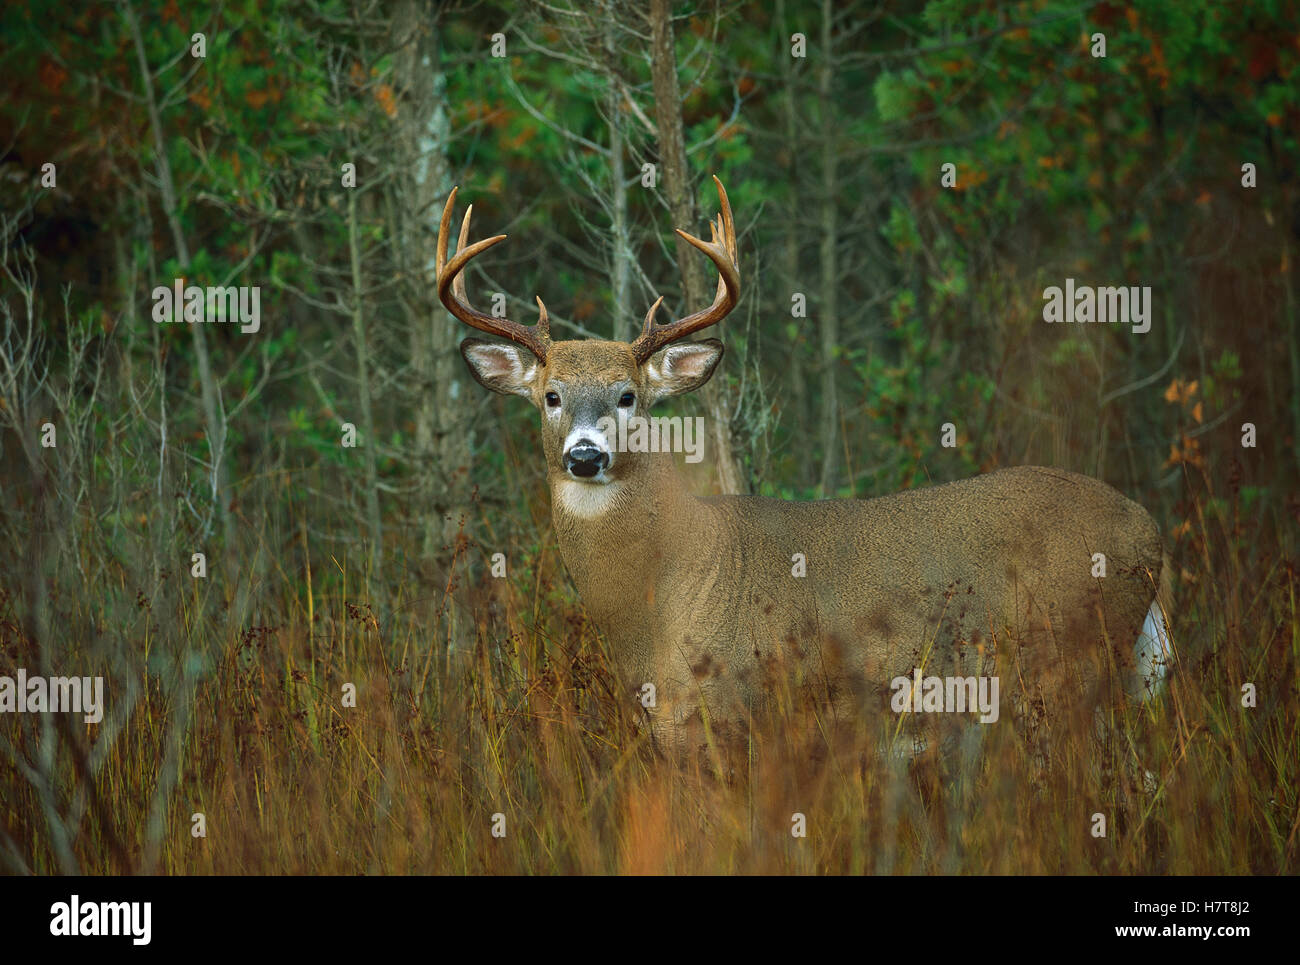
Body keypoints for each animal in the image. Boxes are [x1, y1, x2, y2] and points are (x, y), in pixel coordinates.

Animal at [436, 177, 1175, 762]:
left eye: (628, 396)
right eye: (551, 395)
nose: (585, 455)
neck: (661, 602)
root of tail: (1148, 530)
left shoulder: (739, 711)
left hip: (1064, 665)